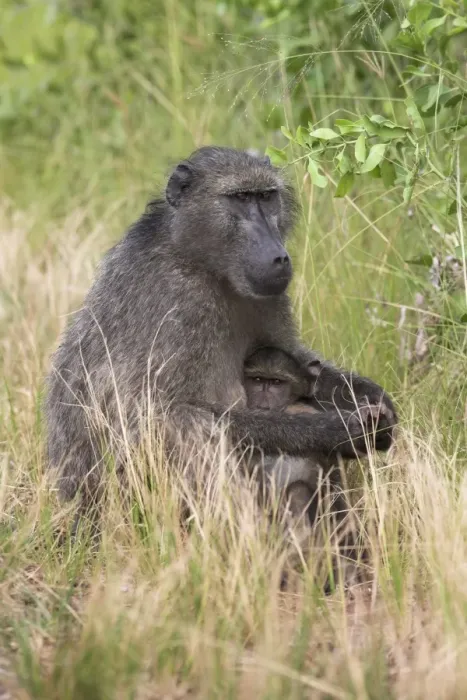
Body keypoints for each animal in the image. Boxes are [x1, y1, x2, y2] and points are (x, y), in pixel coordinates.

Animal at [45, 146, 397, 535]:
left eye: (266, 197)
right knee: (188, 430)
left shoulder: (269, 299)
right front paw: (339, 430)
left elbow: (299, 365)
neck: (200, 260)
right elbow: (156, 415)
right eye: (240, 198)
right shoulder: (178, 299)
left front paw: (376, 401)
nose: (278, 256)